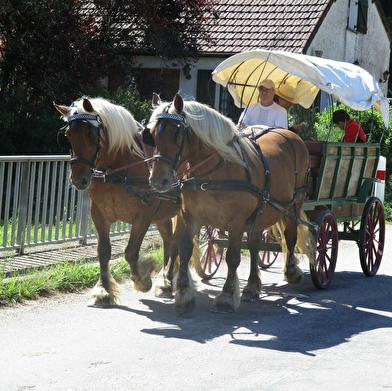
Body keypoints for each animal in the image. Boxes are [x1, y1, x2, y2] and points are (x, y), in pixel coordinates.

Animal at [54, 97, 182, 306]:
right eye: (67, 135)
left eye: (91, 134)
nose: (78, 179)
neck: (117, 169)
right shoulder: (98, 213)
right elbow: (103, 251)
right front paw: (104, 290)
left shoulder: (144, 216)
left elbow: (130, 252)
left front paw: (142, 280)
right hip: (163, 215)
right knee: (169, 242)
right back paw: (165, 281)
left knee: (177, 244)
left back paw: (168, 281)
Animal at [144, 92, 316, 316]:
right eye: (151, 134)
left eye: (177, 134)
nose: (158, 181)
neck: (214, 171)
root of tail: (292, 135)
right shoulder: (190, 216)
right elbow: (184, 248)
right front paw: (183, 294)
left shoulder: (236, 222)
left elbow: (232, 257)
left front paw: (226, 296)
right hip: (260, 212)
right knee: (254, 244)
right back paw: (252, 287)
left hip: (293, 205)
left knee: (290, 236)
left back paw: (291, 272)